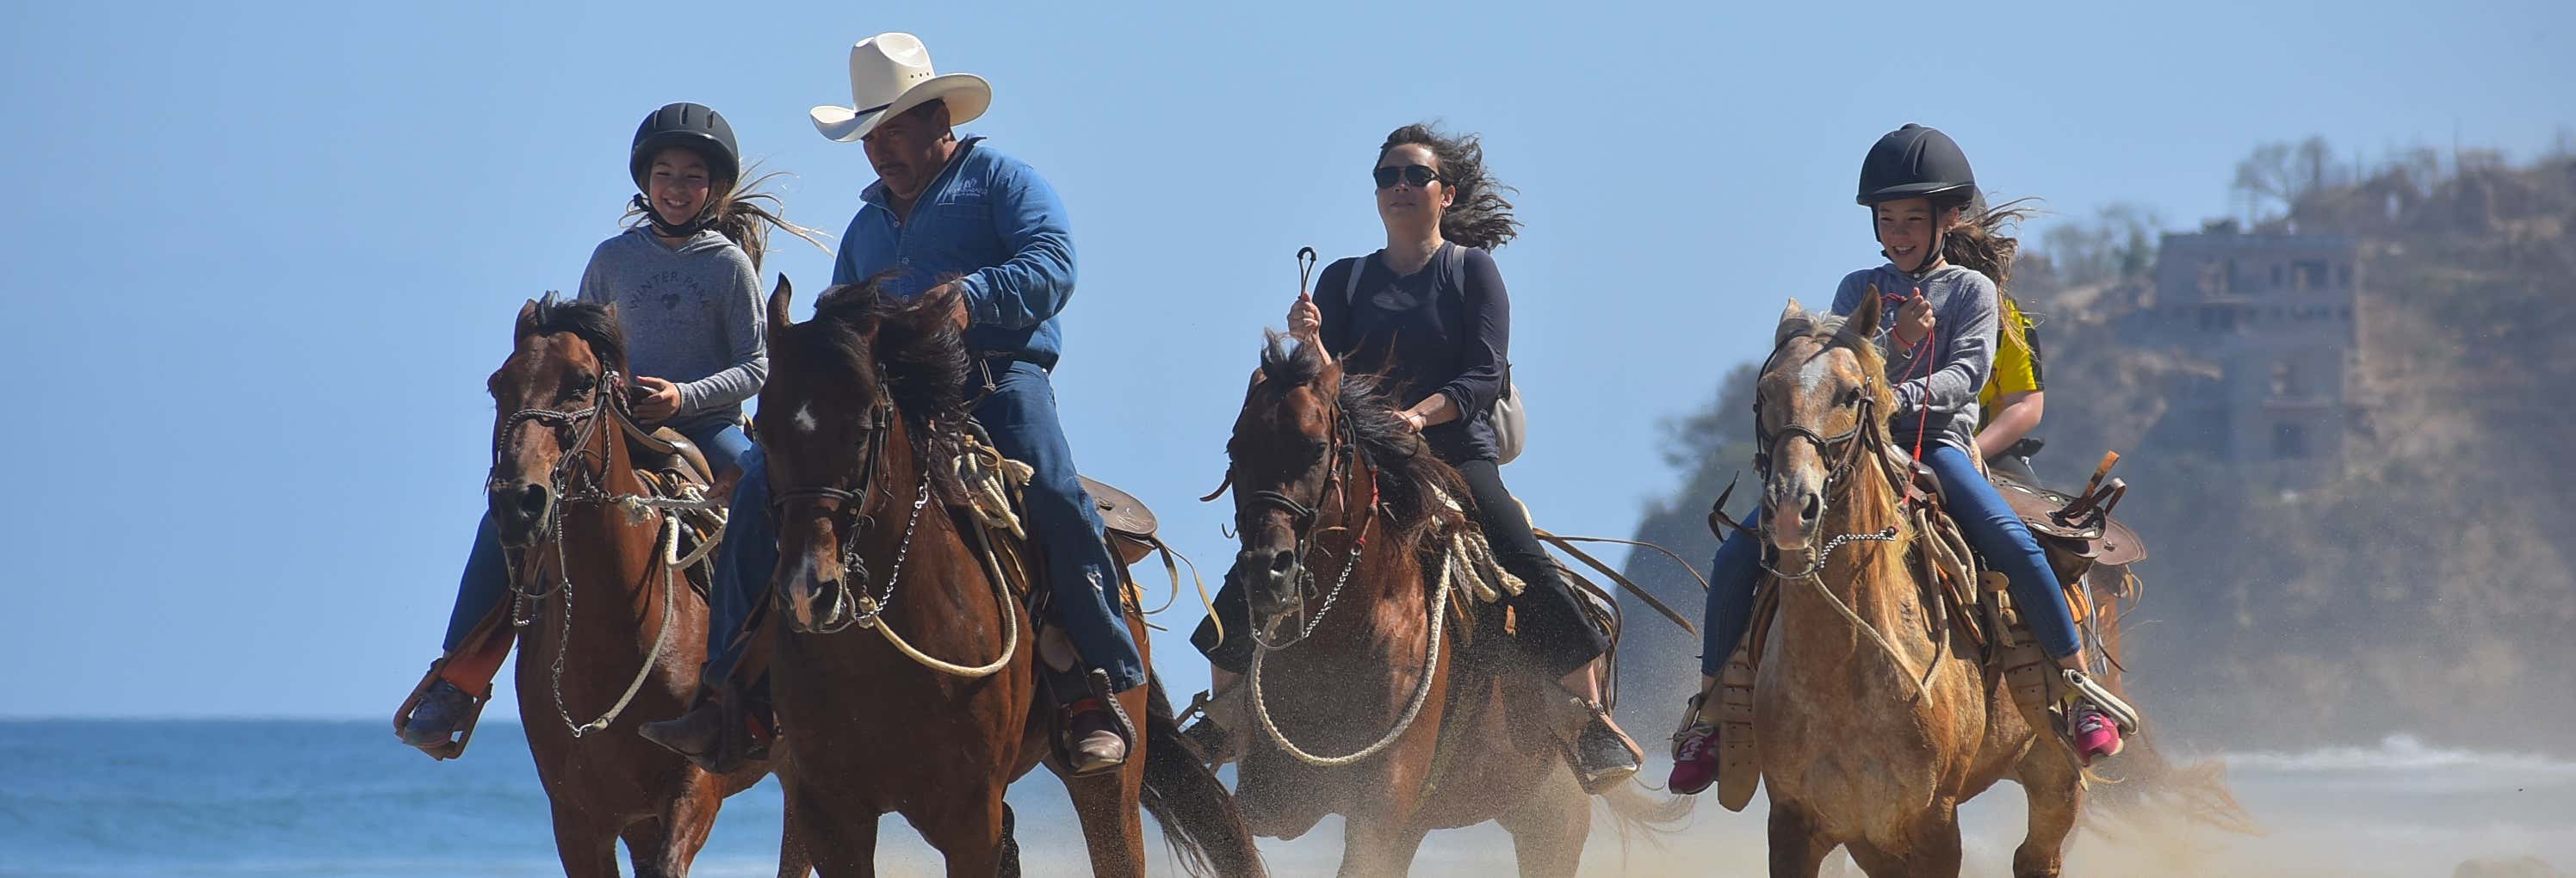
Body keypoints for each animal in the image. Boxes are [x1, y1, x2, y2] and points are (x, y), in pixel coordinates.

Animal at [752, 278, 1262, 875]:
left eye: (860, 431)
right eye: (764, 432)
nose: (807, 590)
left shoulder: (970, 818)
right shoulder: (829, 815)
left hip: (1108, 781)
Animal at [1211, 331, 1679, 870]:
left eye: (1316, 448)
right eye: (1236, 448)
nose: (1267, 570)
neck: (1339, 634)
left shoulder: (1378, 808)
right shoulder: (1269, 799)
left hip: (1553, 823)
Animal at [1741, 291, 2081, 870]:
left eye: (1851, 394)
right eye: (1765, 393)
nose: (1790, 508)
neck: (1842, 667)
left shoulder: (1934, 823)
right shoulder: (1794, 822)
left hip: (2055, 773)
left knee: (2038, 854)